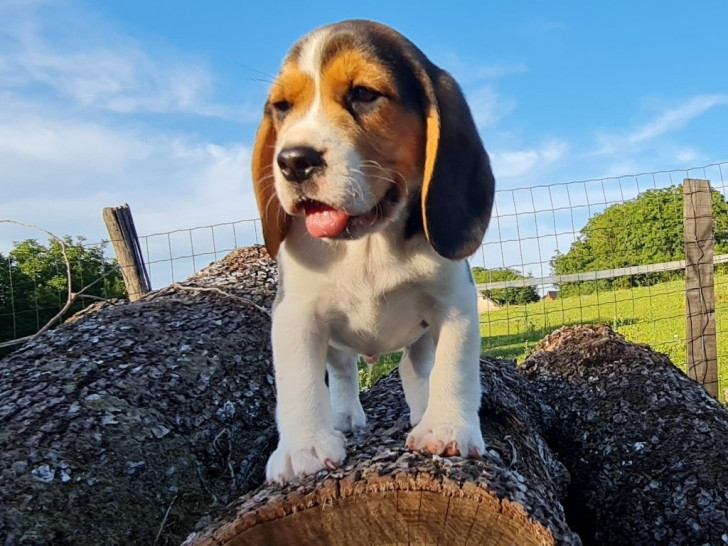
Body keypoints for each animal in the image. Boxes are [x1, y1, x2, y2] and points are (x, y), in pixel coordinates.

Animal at [253, 20, 498, 480]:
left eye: (364, 94)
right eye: (281, 106)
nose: (293, 160)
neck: (367, 244)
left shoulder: (454, 302)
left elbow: (454, 366)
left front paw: (447, 429)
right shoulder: (294, 314)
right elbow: (299, 379)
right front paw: (302, 449)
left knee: (415, 367)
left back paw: (422, 409)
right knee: (343, 370)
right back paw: (344, 416)